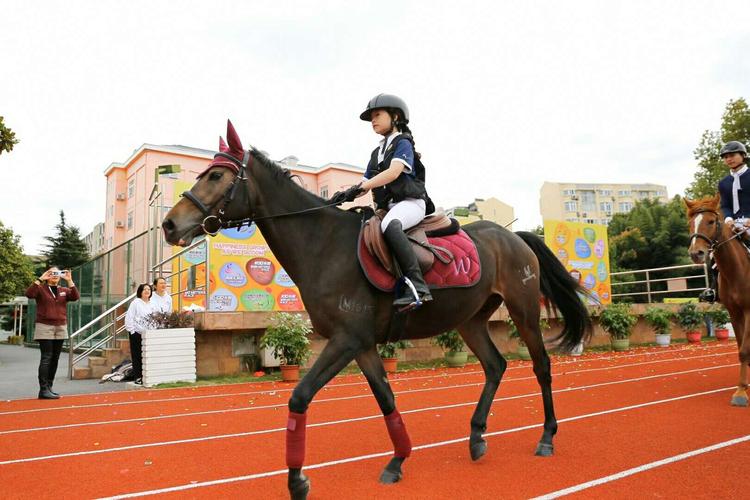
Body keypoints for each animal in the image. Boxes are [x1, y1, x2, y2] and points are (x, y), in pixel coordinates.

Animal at [163, 122, 592, 500]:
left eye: (217, 175)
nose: (169, 224)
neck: (324, 244)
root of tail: (513, 236)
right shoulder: (363, 345)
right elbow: (386, 400)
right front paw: (398, 460)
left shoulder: (346, 340)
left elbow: (299, 397)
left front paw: (297, 480)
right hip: (469, 321)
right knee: (495, 366)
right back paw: (476, 436)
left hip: (523, 311)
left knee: (541, 367)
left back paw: (546, 436)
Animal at [688, 193, 750, 408]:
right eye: (690, 223)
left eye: (711, 221)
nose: (696, 253)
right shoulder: (735, 312)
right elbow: (741, 348)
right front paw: (742, 388)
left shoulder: (749, 310)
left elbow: (745, 349)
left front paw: (741, 393)